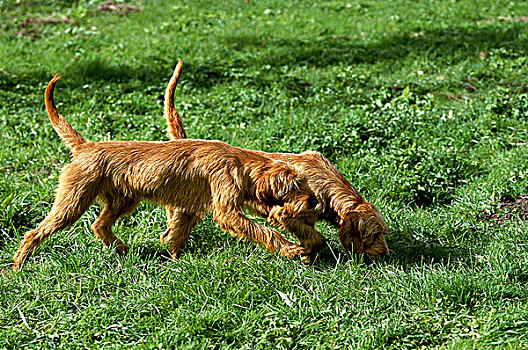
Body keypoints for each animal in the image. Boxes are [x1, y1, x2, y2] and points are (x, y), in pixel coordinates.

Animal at [12, 74, 320, 270]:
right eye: (296, 187)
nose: (314, 201)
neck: (239, 162)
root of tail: (86, 147)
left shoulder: (235, 199)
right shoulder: (226, 208)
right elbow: (262, 231)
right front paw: (291, 248)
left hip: (123, 200)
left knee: (100, 225)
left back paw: (122, 249)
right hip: (73, 202)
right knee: (36, 232)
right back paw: (19, 263)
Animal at [163, 59, 390, 260]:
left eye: (384, 233)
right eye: (374, 234)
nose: (386, 254)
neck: (327, 184)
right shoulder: (285, 213)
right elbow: (313, 236)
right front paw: (305, 250)